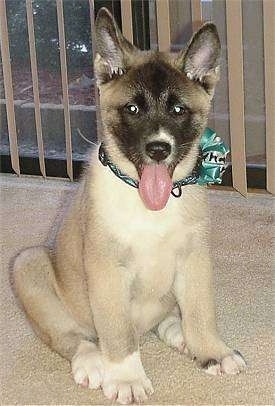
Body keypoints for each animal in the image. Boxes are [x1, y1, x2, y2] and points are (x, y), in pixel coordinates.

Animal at [14, 7, 248, 404]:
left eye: (178, 109)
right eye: (133, 109)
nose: (158, 149)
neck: (148, 204)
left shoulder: (194, 257)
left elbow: (201, 310)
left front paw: (211, 351)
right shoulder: (107, 269)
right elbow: (119, 332)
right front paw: (126, 378)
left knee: (167, 316)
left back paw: (178, 332)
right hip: (28, 264)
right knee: (69, 336)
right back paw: (92, 362)